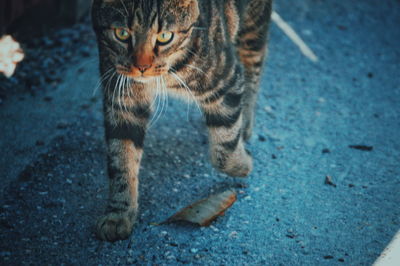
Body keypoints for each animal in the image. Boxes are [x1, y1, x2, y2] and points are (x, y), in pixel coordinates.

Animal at [91, 0, 272, 241]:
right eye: (121, 34)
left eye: (165, 36)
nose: (141, 67)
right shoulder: (122, 98)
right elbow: (121, 158)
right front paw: (119, 214)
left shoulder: (226, 79)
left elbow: (224, 150)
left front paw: (243, 165)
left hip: (254, 26)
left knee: (254, 66)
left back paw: (246, 122)